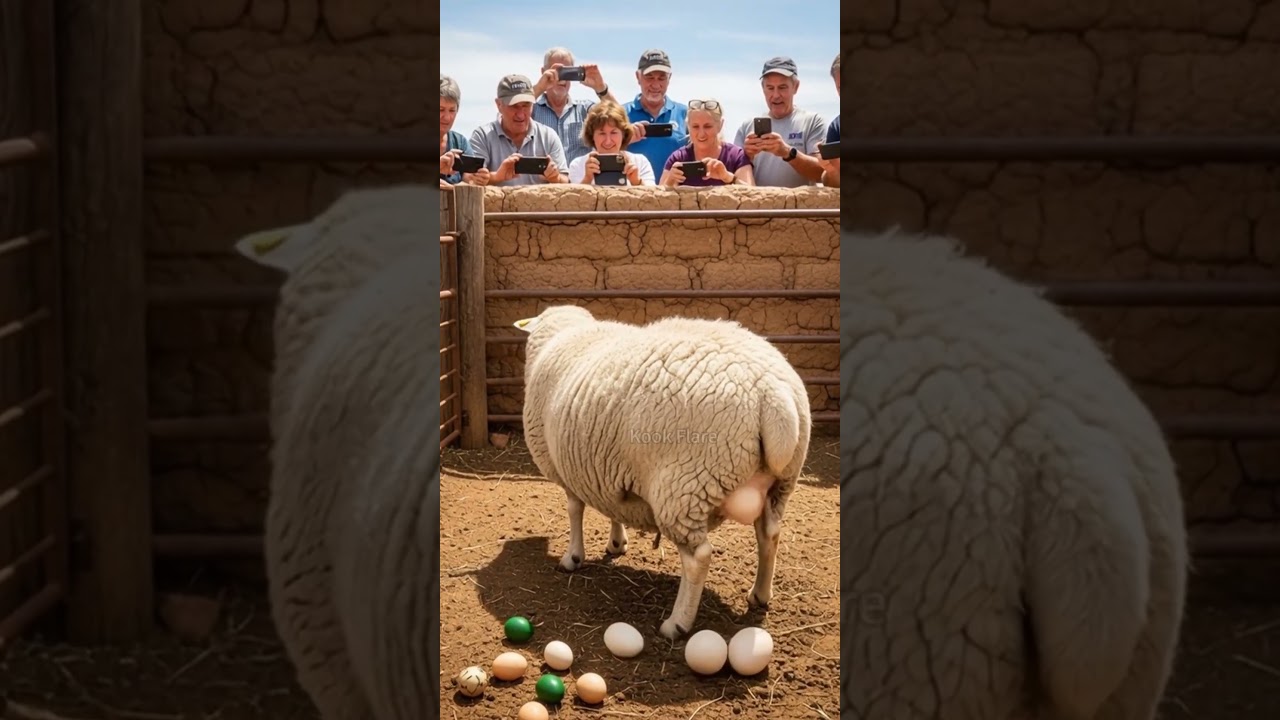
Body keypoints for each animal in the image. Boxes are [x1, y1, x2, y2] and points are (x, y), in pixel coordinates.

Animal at [515, 305, 812, 640]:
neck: (565, 334)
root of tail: (772, 393)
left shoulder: (564, 466)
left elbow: (574, 510)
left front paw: (572, 557)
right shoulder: (605, 465)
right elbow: (612, 508)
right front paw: (616, 542)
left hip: (686, 487)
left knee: (698, 557)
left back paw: (676, 623)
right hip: (781, 483)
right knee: (769, 533)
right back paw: (759, 594)